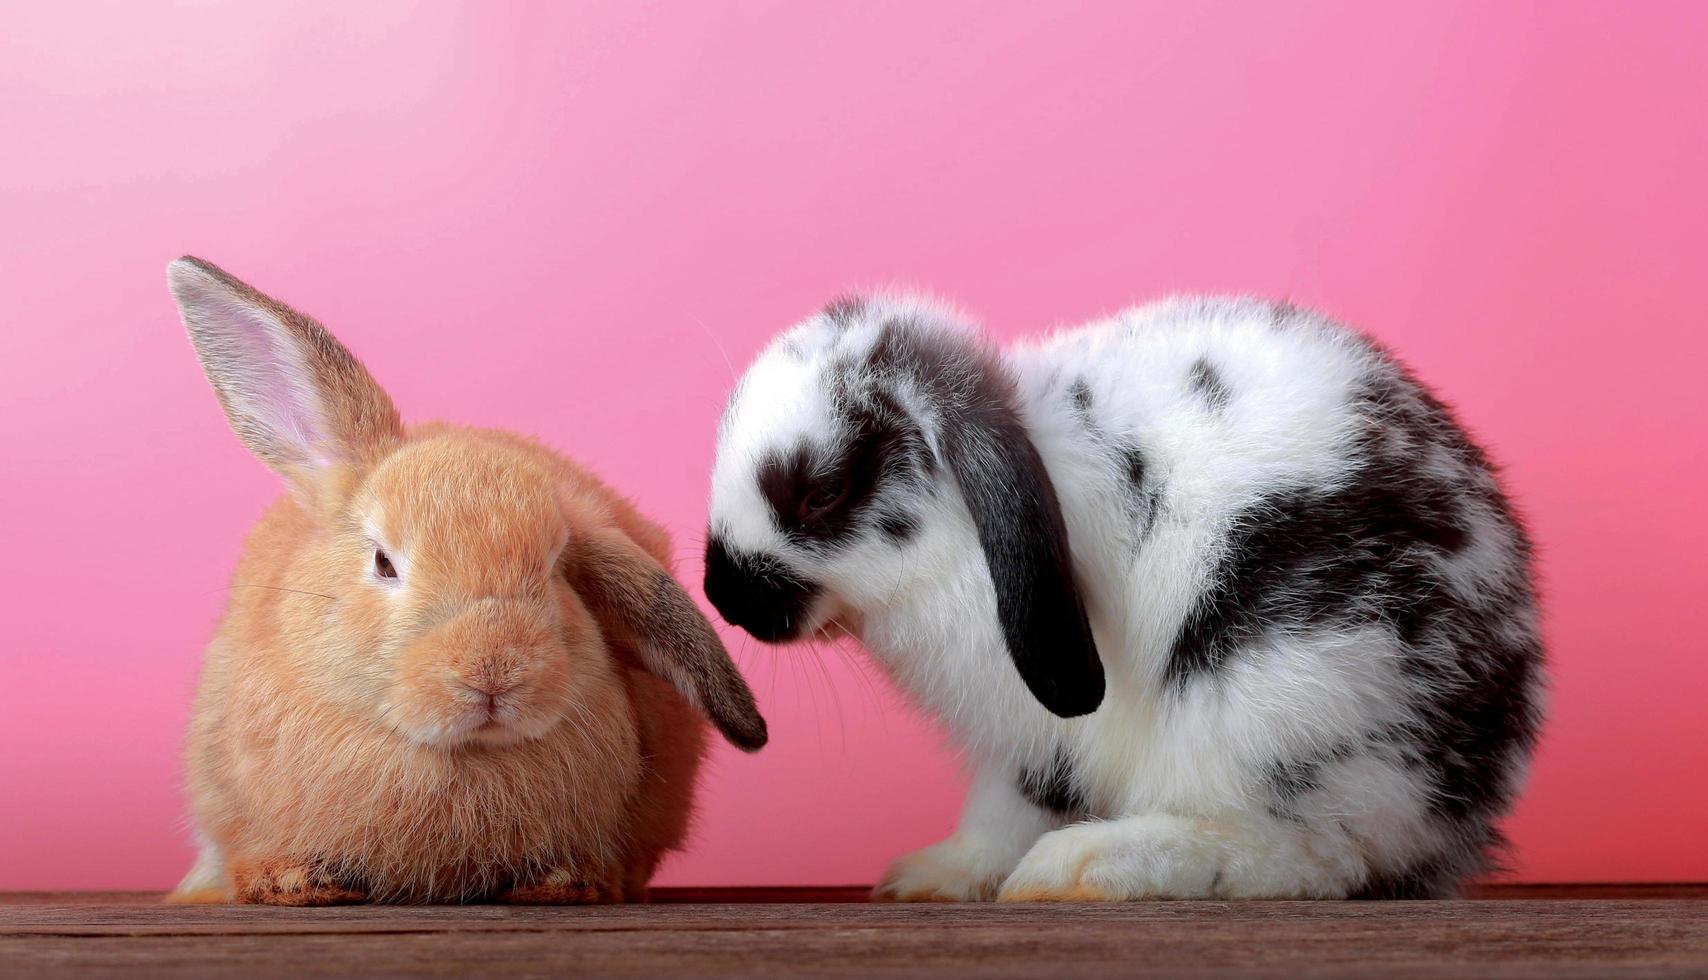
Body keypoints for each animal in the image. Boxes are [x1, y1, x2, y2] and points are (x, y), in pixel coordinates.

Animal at [164, 259, 768, 908]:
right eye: (383, 562)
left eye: (555, 568)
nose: (493, 672)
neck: (460, 758)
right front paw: (295, 882)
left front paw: (566, 881)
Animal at [707, 293, 1550, 908]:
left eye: (820, 494)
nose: (724, 594)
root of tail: (1457, 808)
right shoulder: (1025, 750)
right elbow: (998, 818)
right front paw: (929, 878)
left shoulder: (1043, 713)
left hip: (1285, 686)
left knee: (1319, 855)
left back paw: (1085, 869)